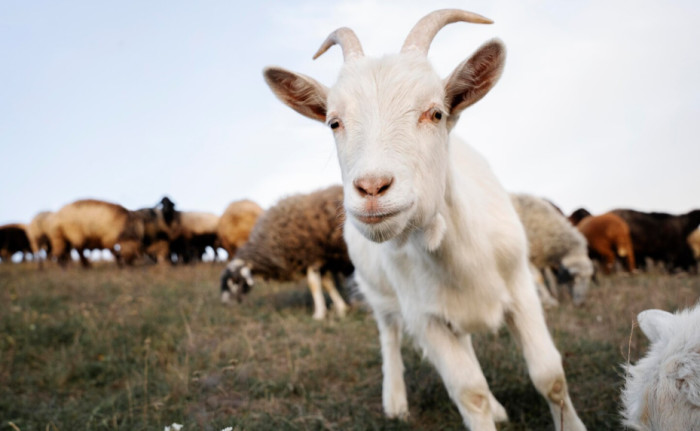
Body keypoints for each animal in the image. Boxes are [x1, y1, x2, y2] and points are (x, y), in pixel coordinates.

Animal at [220, 185, 353, 320]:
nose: (225, 304)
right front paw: (341, 309)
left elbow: (313, 284)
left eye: (235, 281)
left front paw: (319, 314)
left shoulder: (311, 257)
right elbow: (327, 284)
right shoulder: (321, 261)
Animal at [262, 9, 585, 430]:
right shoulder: (424, 317)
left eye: (436, 113)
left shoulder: (521, 288)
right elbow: (470, 393)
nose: (372, 187)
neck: (460, 251)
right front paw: (480, 407)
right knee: (389, 334)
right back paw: (395, 400)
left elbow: (550, 376)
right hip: (379, 292)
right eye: (334, 122)